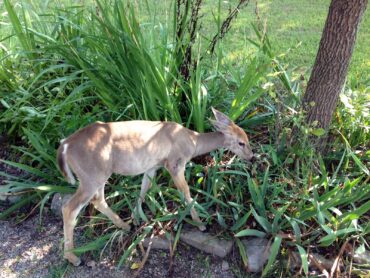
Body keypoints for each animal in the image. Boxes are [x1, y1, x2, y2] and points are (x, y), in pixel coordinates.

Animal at [57, 107, 253, 266]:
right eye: (241, 142)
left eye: (247, 138)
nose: (252, 156)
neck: (192, 141)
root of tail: (65, 145)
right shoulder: (175, 163)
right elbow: (186, 192)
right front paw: (200, 224)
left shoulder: (153, 166)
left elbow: (143, 190)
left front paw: (137, 218)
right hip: (91, 176)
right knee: (69, 208)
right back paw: (73, 258)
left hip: (98, 176)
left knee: (98, 201)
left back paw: (124, 226)